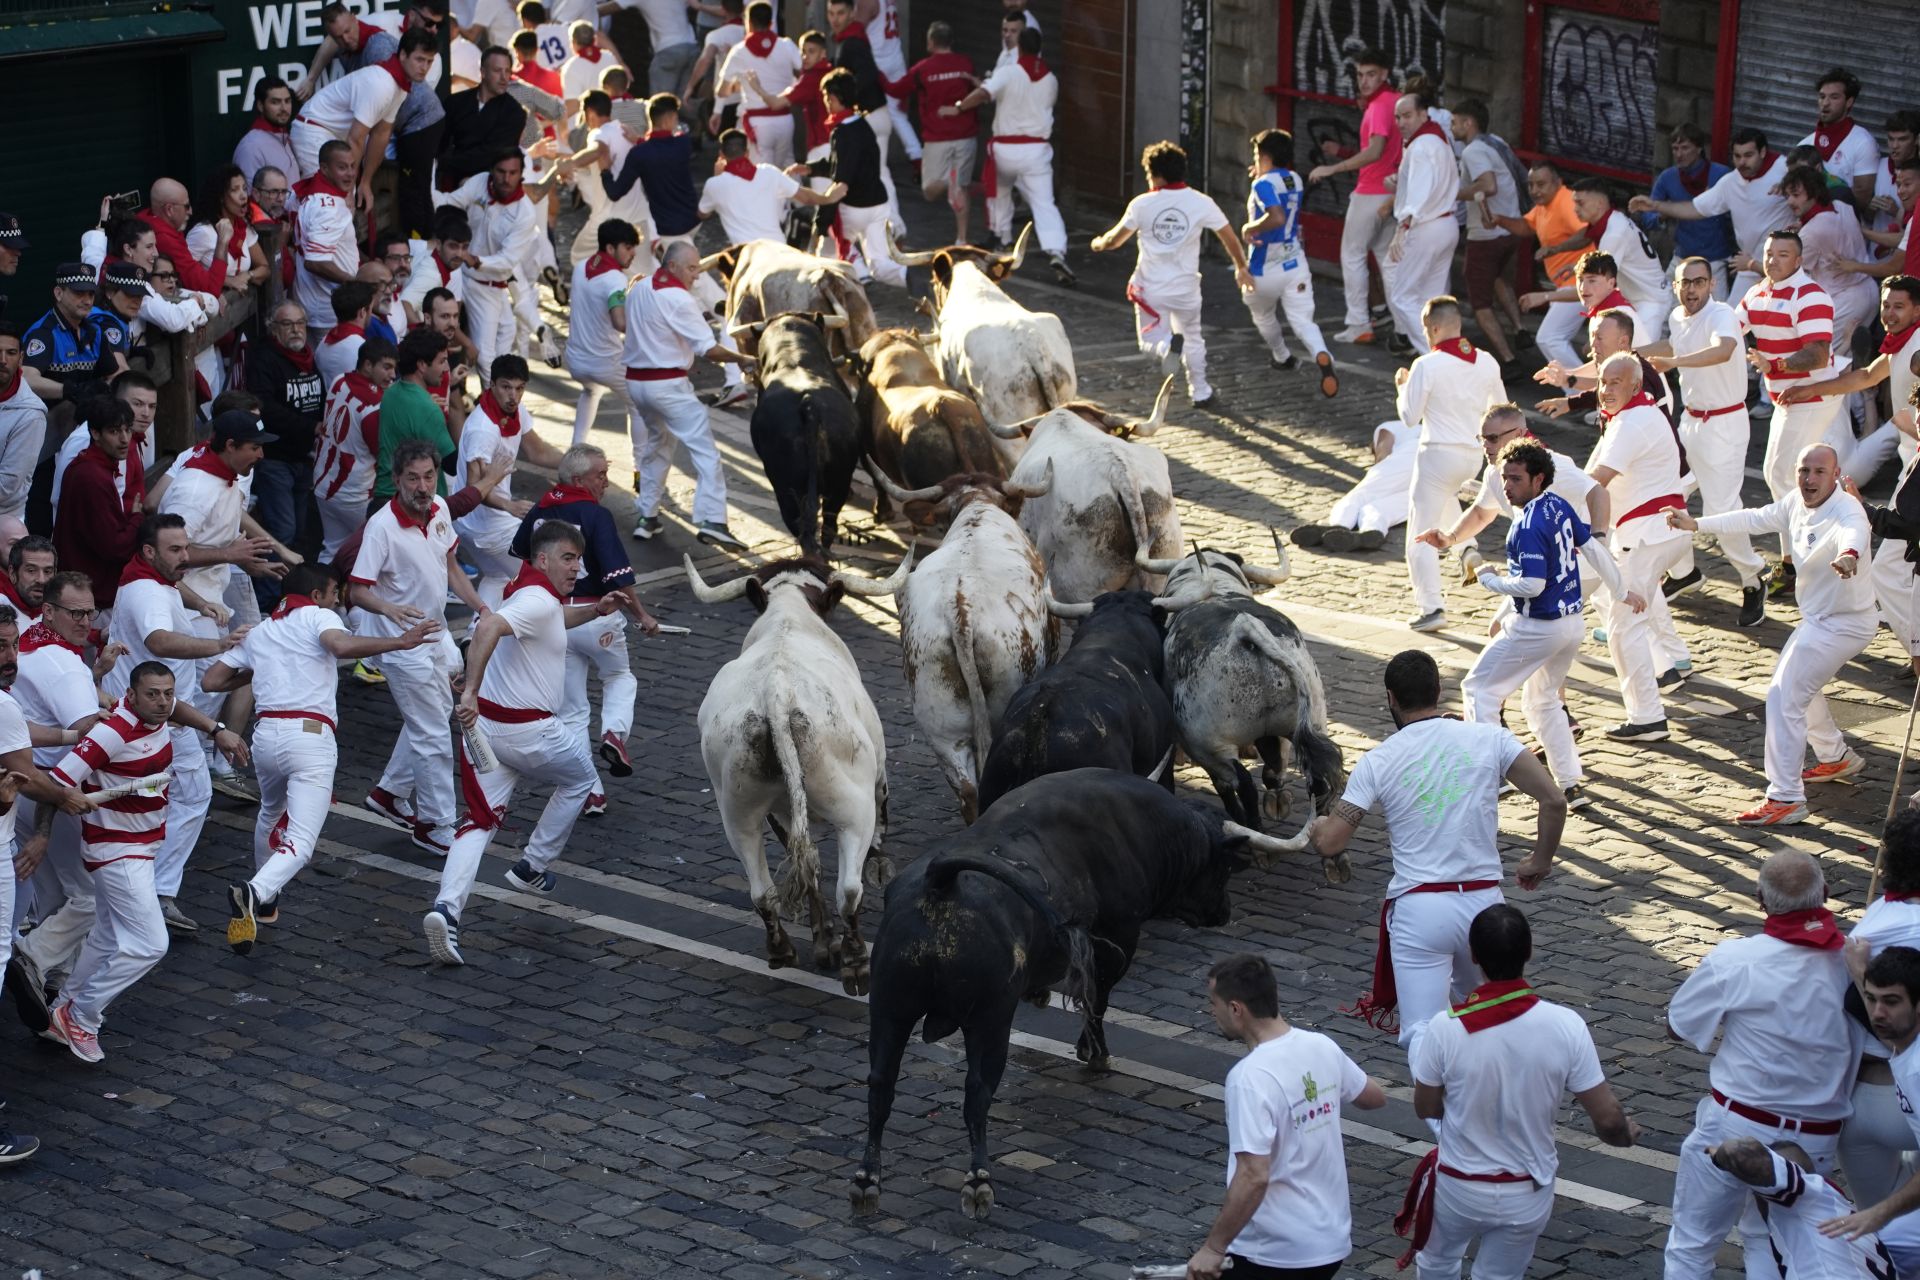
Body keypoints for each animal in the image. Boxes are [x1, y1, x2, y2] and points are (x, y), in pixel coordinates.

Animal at [691, 556, 906, 997]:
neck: (788, 617)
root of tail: (775, 697)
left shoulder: (781, 813)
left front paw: (823, 942)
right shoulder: (877, 779)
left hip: (739, 812)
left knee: (766, 888)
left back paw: (785, 950)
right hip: (852, 807)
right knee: (848, 889)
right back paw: (856, 964)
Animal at [852, 771, 1267, 1220]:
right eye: (1222, 869)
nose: (1224, 912)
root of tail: (940, 880)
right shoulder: (1118, 937)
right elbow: (1098, 999)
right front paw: (1095, 1052)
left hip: (889, 1009)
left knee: (880, 1085)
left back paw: (867, 1181)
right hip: (989, 1020)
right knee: (976, 1092)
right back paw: (978, 1182)